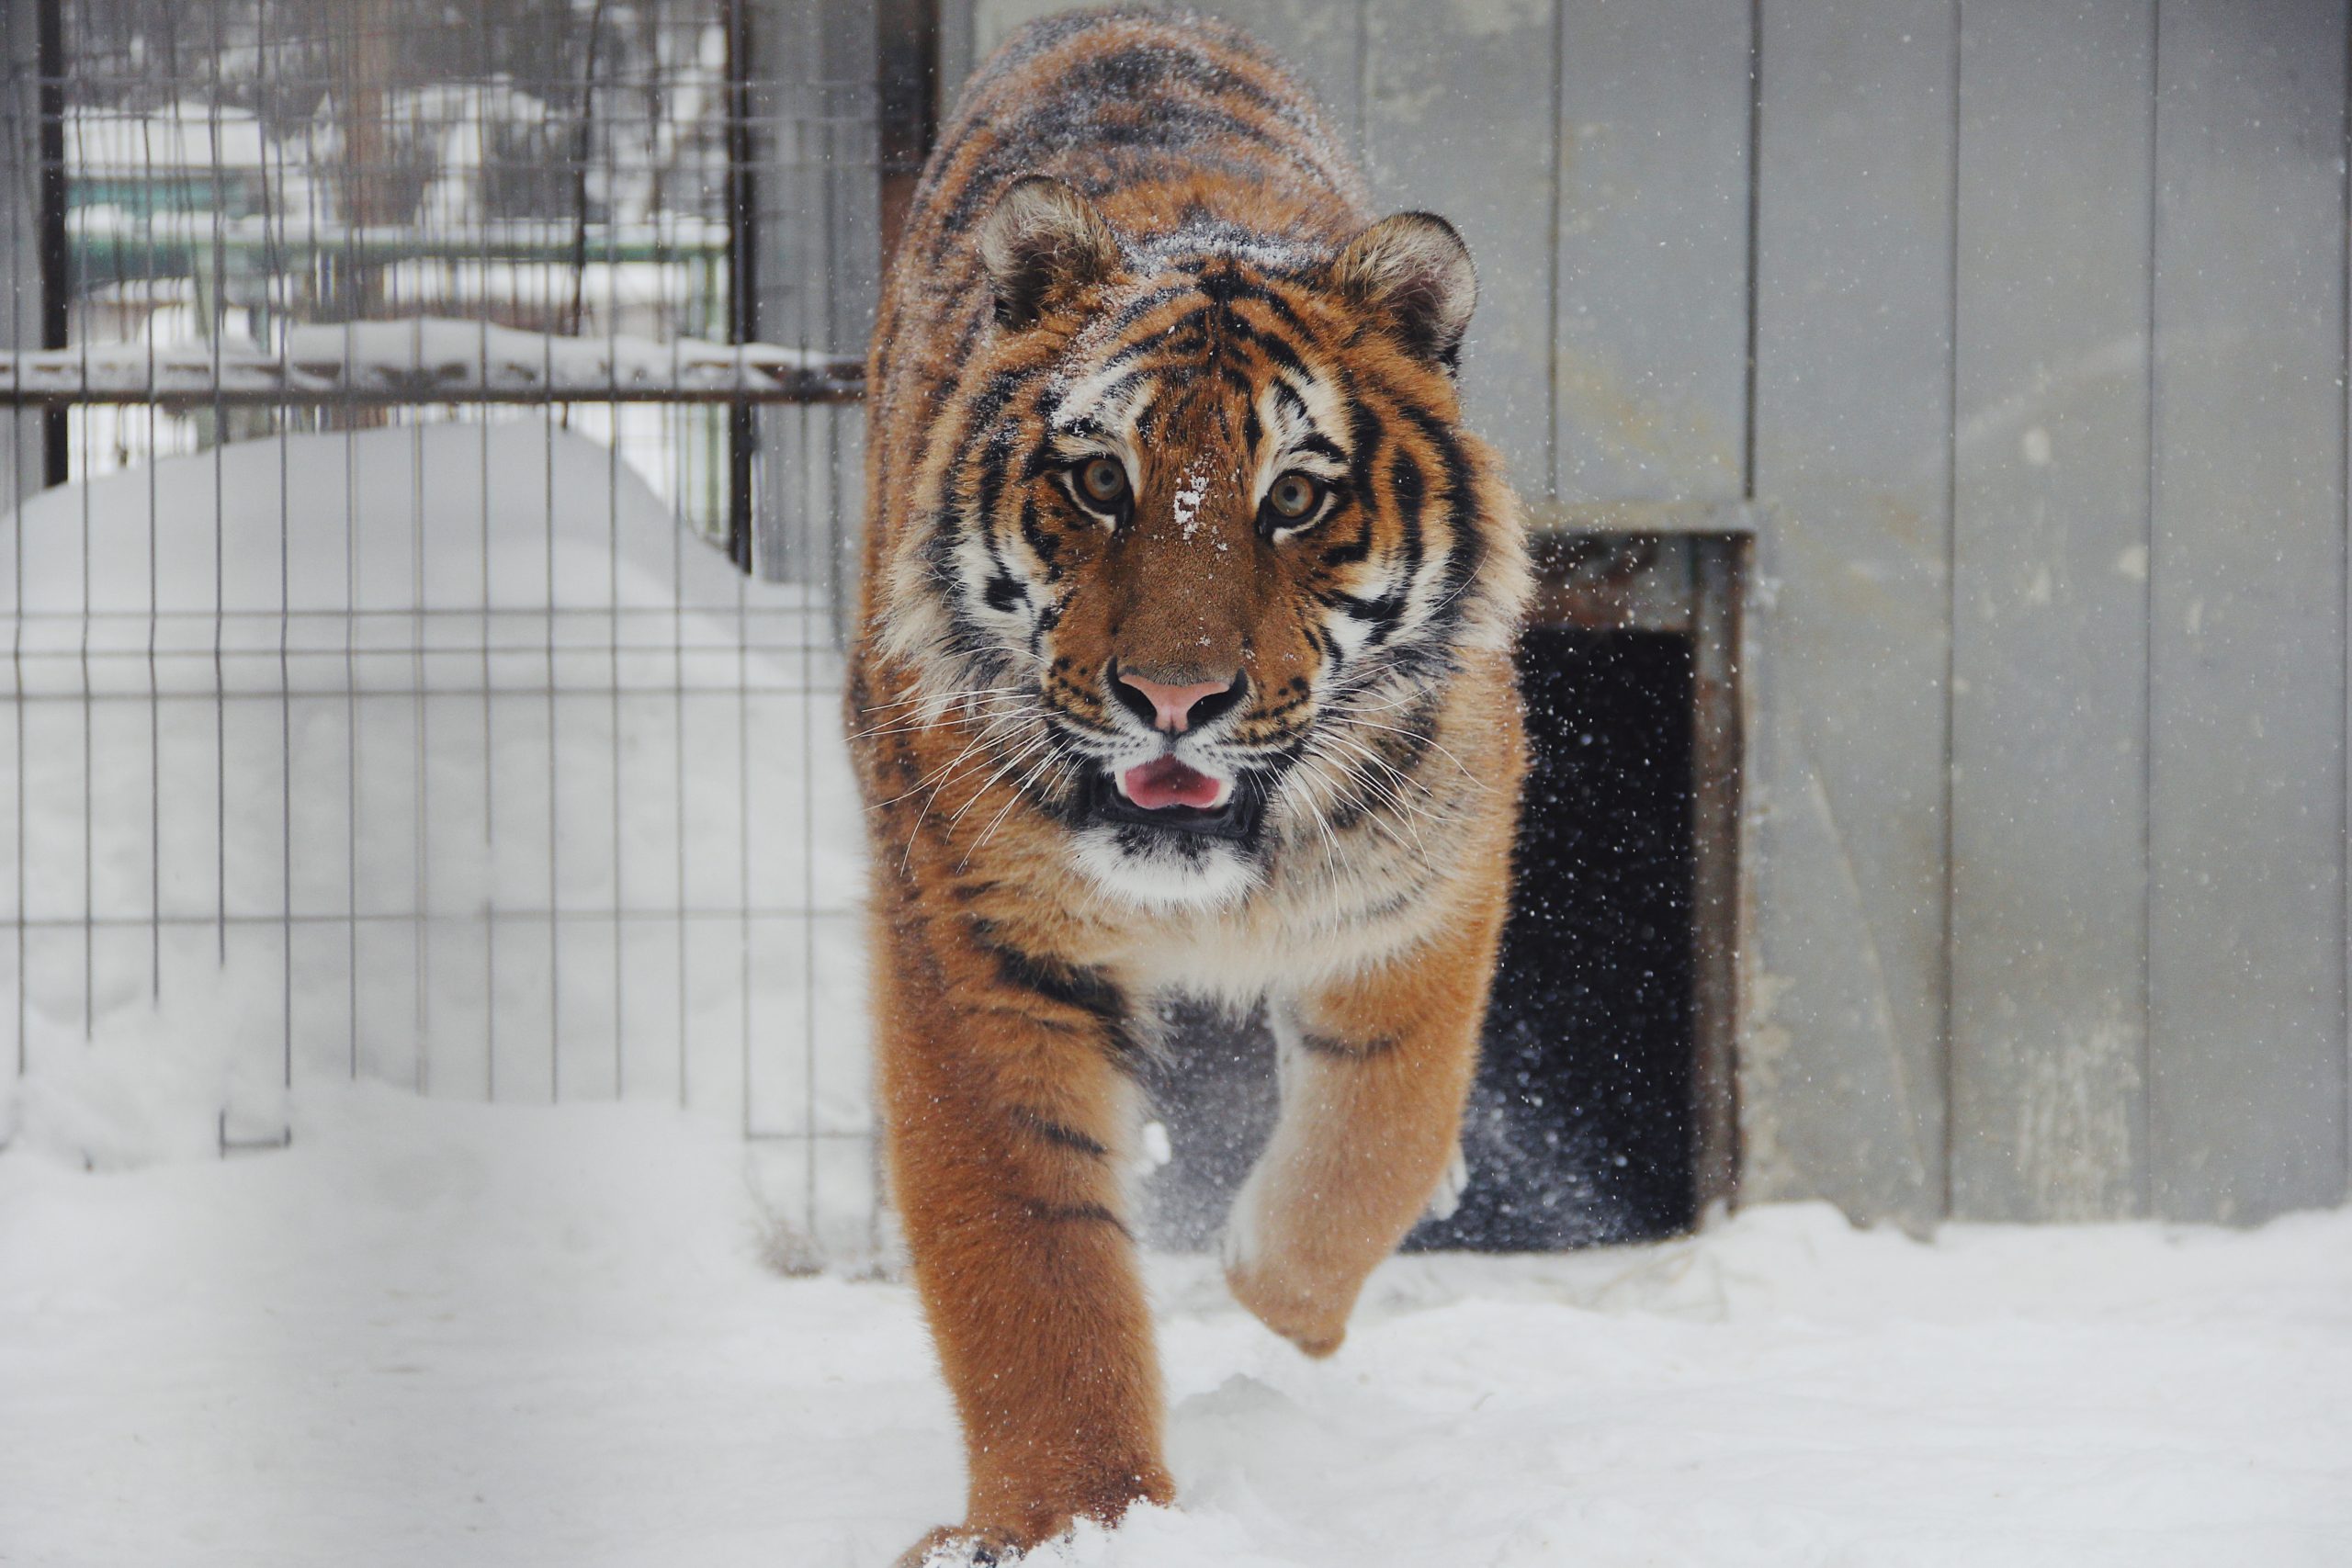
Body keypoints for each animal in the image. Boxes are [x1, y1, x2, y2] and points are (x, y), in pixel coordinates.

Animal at [846, 9, 1531, 1562]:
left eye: (1295, 496)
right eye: (1101, 482)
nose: (1175, 697)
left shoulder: (1427, 888)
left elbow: (1382, 1127)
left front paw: (1274, 1288)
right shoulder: (975, 946)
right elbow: (1030, 1262)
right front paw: (1068, 1513)